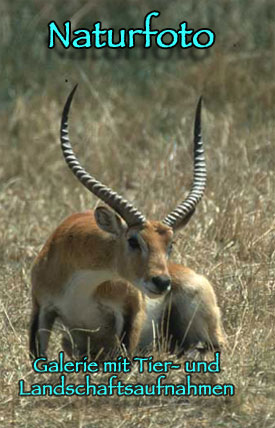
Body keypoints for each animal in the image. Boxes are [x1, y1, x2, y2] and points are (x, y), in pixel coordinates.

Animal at [29, 85, 225, 360]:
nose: (161, 282)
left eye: (170, 244)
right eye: (133, 241)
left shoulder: (131, 310)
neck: (81, 285)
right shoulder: (41, 308)